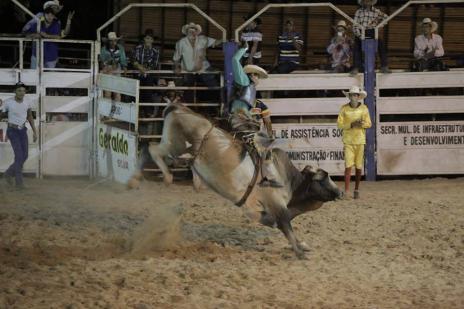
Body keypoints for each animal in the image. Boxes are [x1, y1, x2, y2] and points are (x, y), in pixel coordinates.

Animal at [129, 103, 342, 258]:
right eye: (324, 178)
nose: (341, 192)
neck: (288, 179)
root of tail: (177, 107)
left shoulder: (262, 211)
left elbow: (278, 223)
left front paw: (302, 245)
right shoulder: (276, 206)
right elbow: (286, 226)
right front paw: (299, 251)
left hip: (174, 148)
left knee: (147, 150)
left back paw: (135, 179)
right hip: (175, 146)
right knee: (152, 149)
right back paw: (165, 177)